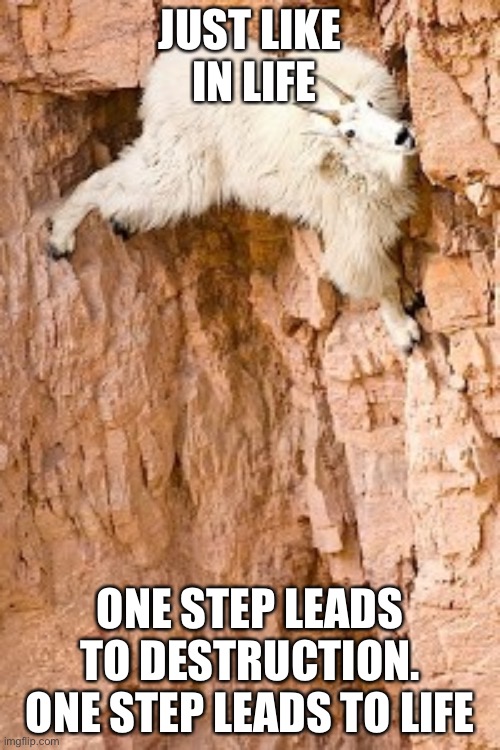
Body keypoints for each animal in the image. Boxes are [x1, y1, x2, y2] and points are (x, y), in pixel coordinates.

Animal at [47, 41, 421, 353]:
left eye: (370, 103)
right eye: (349, 133)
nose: (403, 136)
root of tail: (162, 75)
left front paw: (409, 299)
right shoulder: (352, 229)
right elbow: (377, 281)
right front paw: (405, 332)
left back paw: (114, 223)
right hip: (183, 169)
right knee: (108, 186)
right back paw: (59, 237)